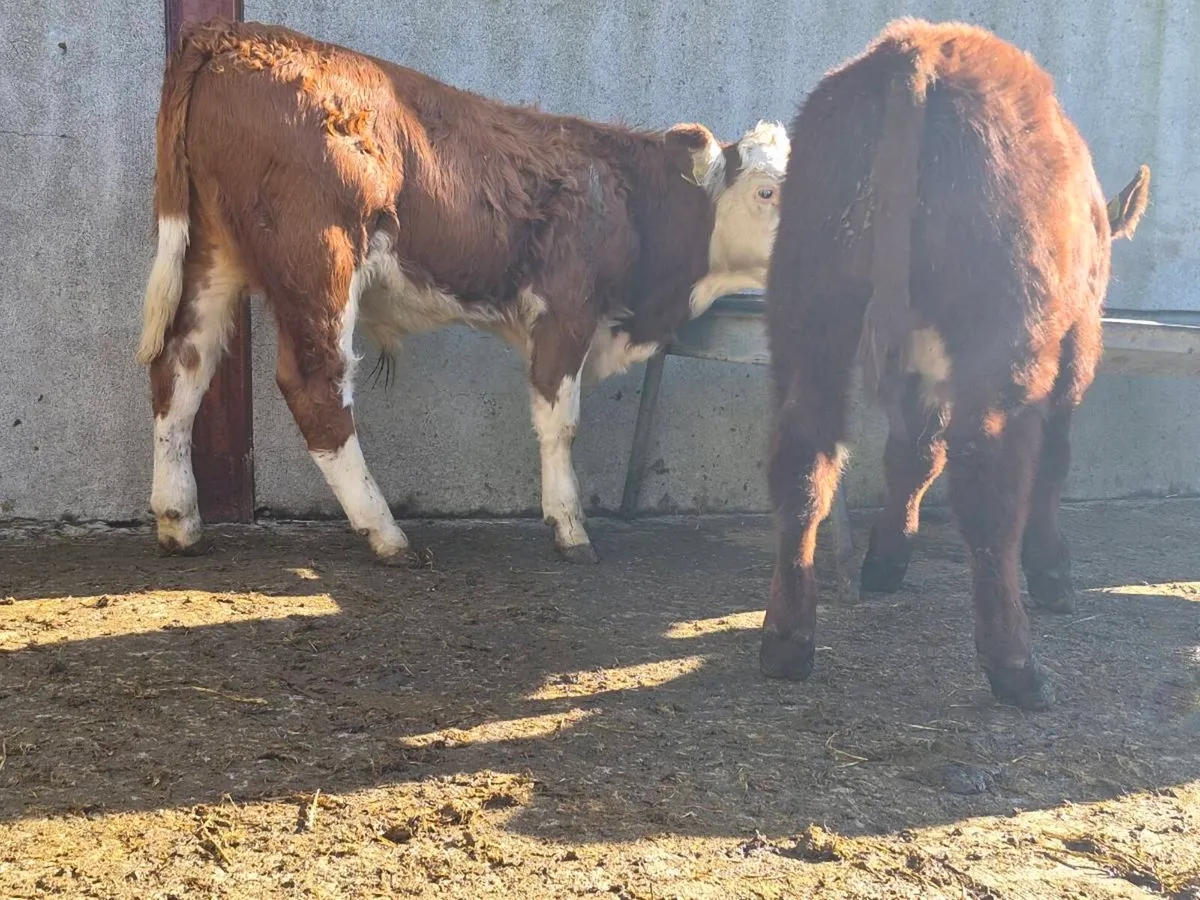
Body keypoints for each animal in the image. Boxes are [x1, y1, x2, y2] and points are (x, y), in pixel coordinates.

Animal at [135, 20, 788, 565]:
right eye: (766, 192)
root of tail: (230, 34)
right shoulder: (567, 306)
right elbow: (560, 421)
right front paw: (569, 527)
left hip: (214, 255)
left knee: (182, 365)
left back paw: (179, 520)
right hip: (320, 258)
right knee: (316, 386)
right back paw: (385, 532)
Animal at [759, 19, 1150, 710]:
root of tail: (917, 48)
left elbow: (912, 455)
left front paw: (888, 558)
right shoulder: (1077, 343)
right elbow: (1053, 457)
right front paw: (1053, 572)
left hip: (809, 313)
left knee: (805, 455)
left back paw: (787, 640)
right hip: (1005, 342)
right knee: (989, 477)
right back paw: (1016, 665)